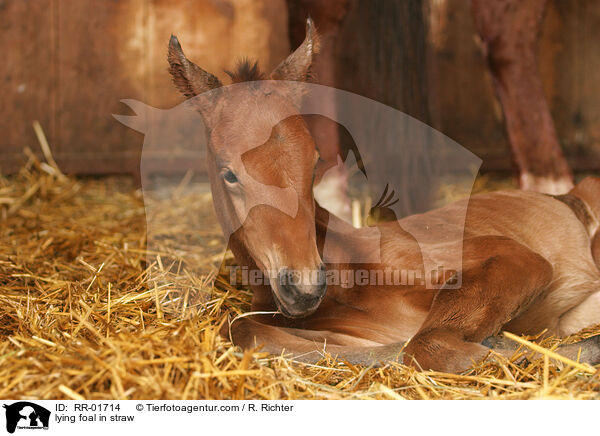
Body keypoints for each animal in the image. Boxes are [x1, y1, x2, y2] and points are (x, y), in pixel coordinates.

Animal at [166, 20, 600, 372]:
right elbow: (243, 329)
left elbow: (427, 344)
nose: (304, 287)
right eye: (228, 173)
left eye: (314, 163)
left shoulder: (514, 257)